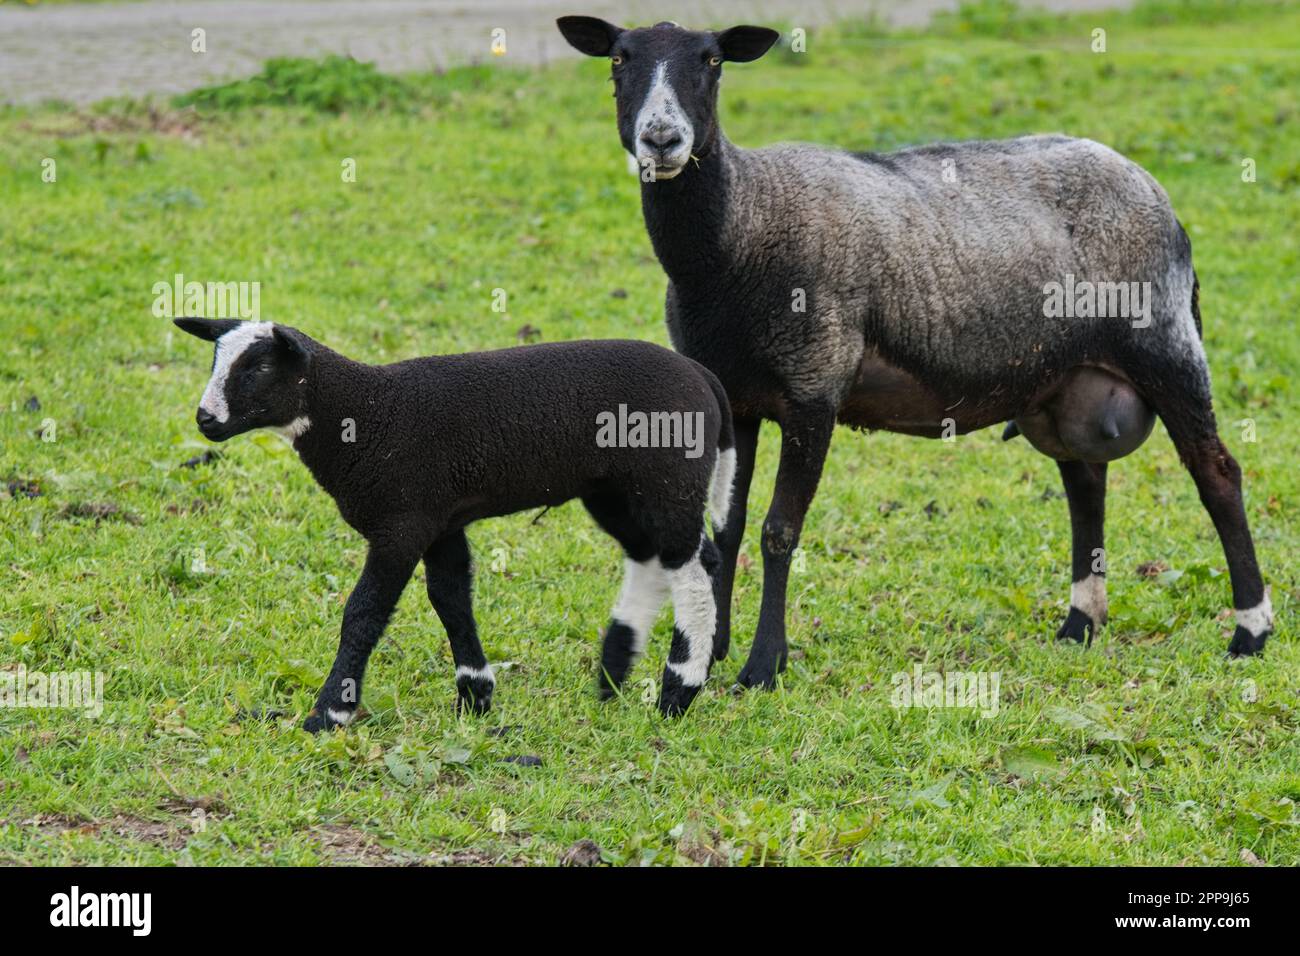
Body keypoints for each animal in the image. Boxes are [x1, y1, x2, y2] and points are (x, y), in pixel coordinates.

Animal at [172, 317, 738, 728]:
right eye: (216, 361)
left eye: (259, 369)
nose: (205, 420)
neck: (365, 414)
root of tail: (704, 378)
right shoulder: (439, 519)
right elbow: (450, 598)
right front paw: (475, 695)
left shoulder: (402, 524)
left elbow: (364, 613)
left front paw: (330, 712)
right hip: (616, 491)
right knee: (657, 560)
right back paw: (615, 671)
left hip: (666, 479)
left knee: (692, 567)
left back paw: (679, 690)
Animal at [556, 14, 1268, 686]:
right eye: (619, 59)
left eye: (712, 61)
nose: (662, 139)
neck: (743, 225)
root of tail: (1153, 189)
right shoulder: (737, 399)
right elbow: (725, 532)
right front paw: (712, 652)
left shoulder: (814, 383)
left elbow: (778, 531)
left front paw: (763, 666)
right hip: (1065, 382)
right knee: (1086, 481)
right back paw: (1079, 624)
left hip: (1164, 342)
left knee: (1217, 475)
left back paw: (1250, 632)